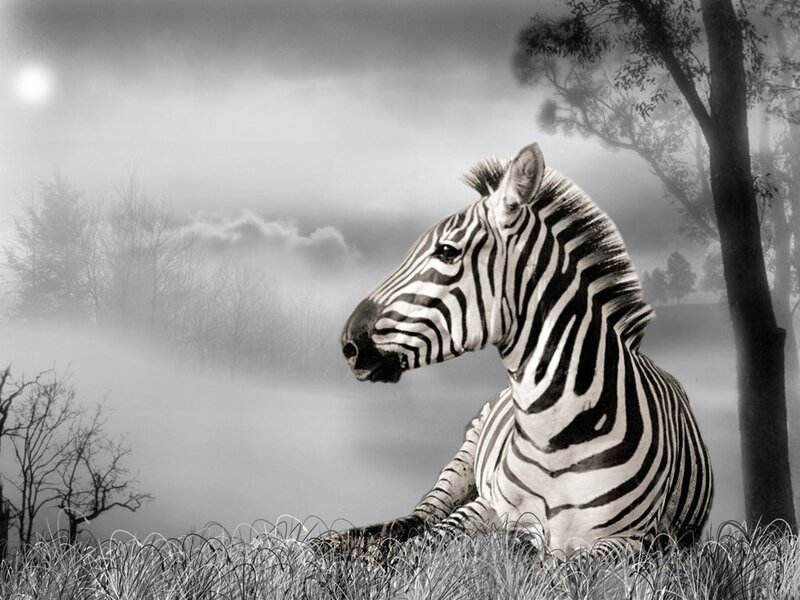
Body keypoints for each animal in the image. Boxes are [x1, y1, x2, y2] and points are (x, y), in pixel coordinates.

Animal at [335, 142, 713, 556]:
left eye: (447, 252)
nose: (348, 344)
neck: (555, 439)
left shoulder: (636, 541)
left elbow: (568, 567)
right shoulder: (488, 505)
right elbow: (423, 544)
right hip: (464, 457)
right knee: (417, 519)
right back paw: (333, 542)